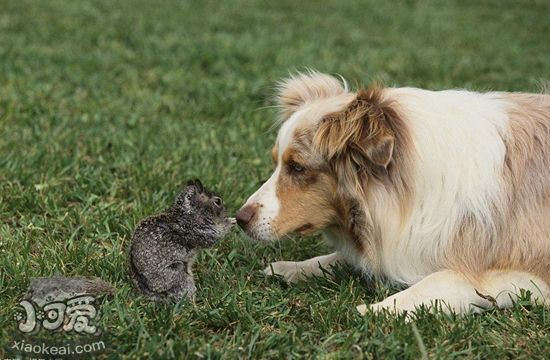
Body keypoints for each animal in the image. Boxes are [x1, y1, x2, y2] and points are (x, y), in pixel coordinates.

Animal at [237, 70, 550, 316]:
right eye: (277, 162)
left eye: (297, 167)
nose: (239, 219)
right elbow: (341, 257)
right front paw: (291, 268)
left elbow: (443, 280)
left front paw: (376, 310)